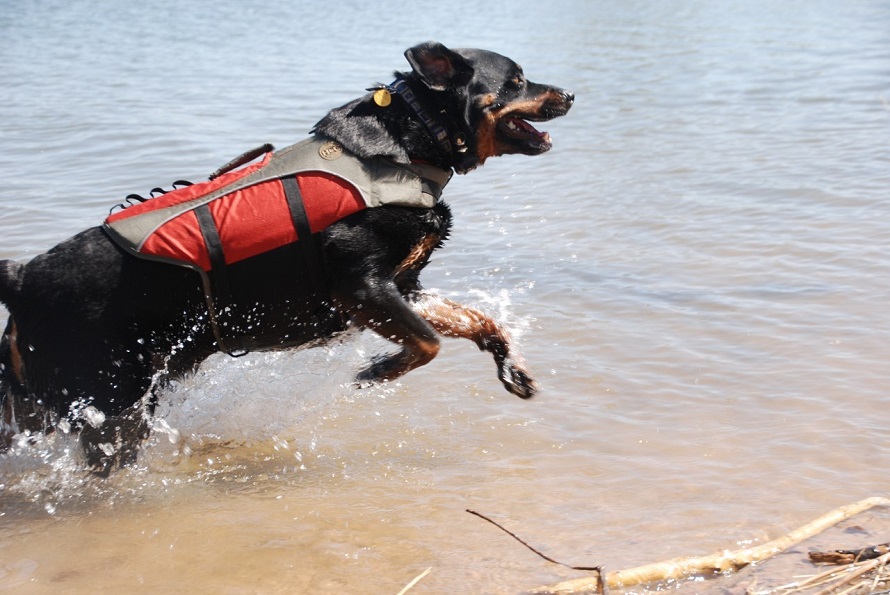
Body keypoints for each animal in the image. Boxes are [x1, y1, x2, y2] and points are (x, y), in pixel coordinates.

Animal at [0, 43, 568, 474]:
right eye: (517, 80)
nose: (570, 94)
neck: (411, 144)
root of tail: (23, 276)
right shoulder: (362, 287)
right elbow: (428, 343)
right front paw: (379, 370)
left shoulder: (402, 287)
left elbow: (475, 320)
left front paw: (508, 364)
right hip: (111, 405)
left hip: (32, 401)